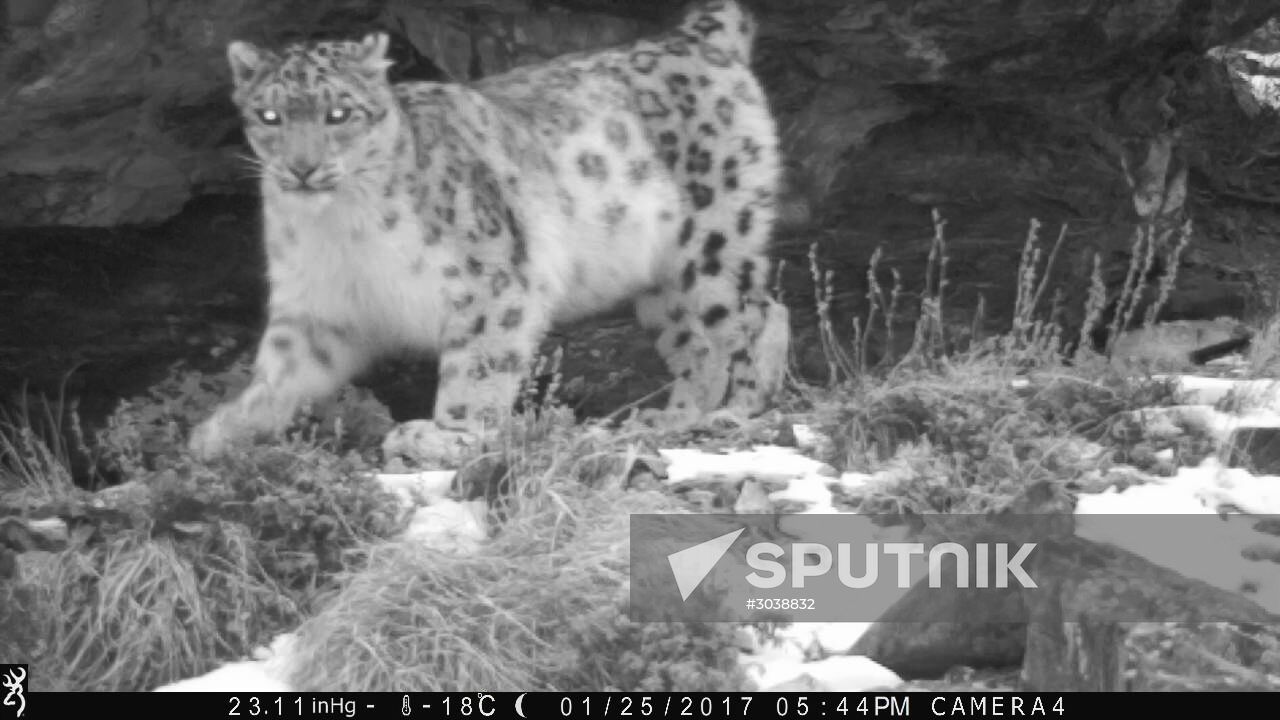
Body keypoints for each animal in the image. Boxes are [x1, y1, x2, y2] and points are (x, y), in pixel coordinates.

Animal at [188, 0, 790, 466]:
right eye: (269, 116)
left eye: (339, 114)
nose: (302, 168)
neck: (339, 229)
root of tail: (691, 37)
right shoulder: (317, 306)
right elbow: (280, 373)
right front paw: (220, 432)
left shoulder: (492, 282)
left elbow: (476, 364)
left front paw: (448, 435)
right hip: (662, 283)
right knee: (701, 337)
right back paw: (673, 414)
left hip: (710, 240)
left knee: (749, 317)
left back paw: (729, 408)